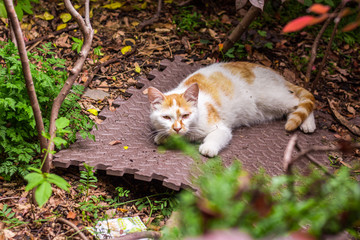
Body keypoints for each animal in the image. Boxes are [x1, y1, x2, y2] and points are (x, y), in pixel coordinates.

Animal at [146, 61, 316, 158]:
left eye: (186, 115)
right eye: (166, 117)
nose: (177, 128)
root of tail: (276, 74)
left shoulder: (221, 127)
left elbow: (216, 136)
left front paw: (208, 147)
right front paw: (162, 136)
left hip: (271, 98)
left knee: (300, 100)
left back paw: (308, 124)